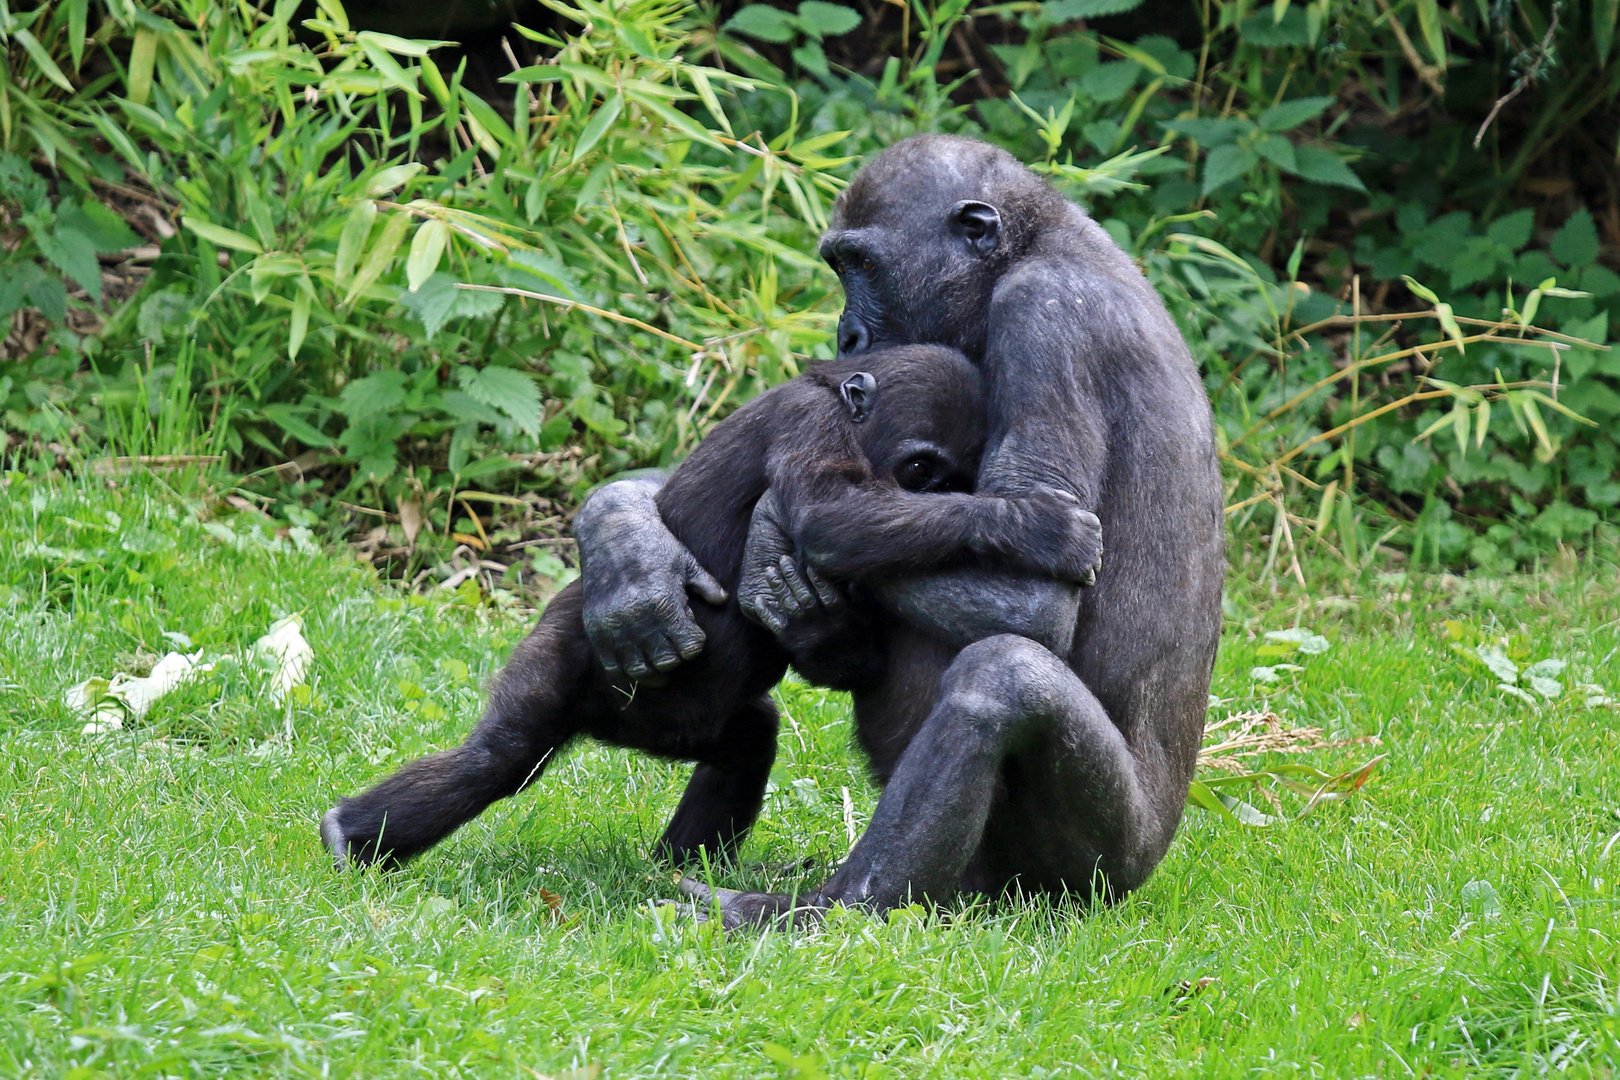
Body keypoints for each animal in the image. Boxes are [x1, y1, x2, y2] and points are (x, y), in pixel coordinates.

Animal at [320, 346, 1095, 867]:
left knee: (748, 744)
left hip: (681, 725)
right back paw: (352, 837)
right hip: (567, 648)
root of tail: (610, 729)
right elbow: (830, 514)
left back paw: (676, 869)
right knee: (499, 754)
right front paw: (1034, 524)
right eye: (920, 472)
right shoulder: (810, 421)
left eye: (959, 476)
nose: (943, 495)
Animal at [576, 135, 1218, 926]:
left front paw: (768, 534)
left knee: (1001, 682)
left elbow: (1035, 599)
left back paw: (825, 911)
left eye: (863, 264)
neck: (1035, 243)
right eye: (837, 265)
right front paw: (624, 538)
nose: (846, 333)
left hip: (1090, 874)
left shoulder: (1044, 321)